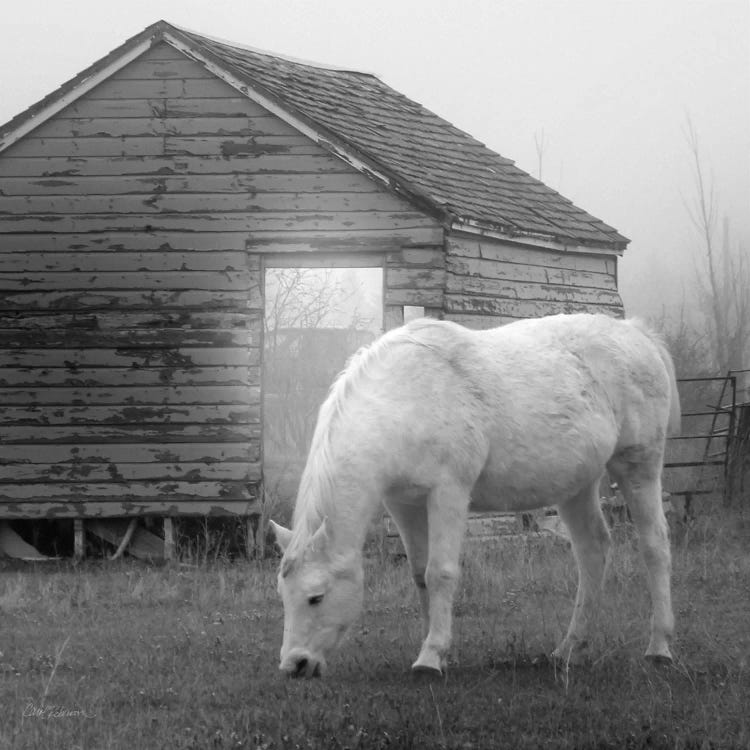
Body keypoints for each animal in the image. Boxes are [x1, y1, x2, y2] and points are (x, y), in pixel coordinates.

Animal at [270, 314, 680, 680]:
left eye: (316, 597)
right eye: (283, 597)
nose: (295, 666)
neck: (405, 399)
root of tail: (636, 333)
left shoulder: (449, 492)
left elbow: (440, 572)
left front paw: (430, 658)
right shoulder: (404, 504)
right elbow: (420, 574)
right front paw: (436, 646)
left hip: (638, 466)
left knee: (655, 547)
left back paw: (659, 647)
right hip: (578, 485)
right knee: (592, 550)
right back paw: (570, 649)